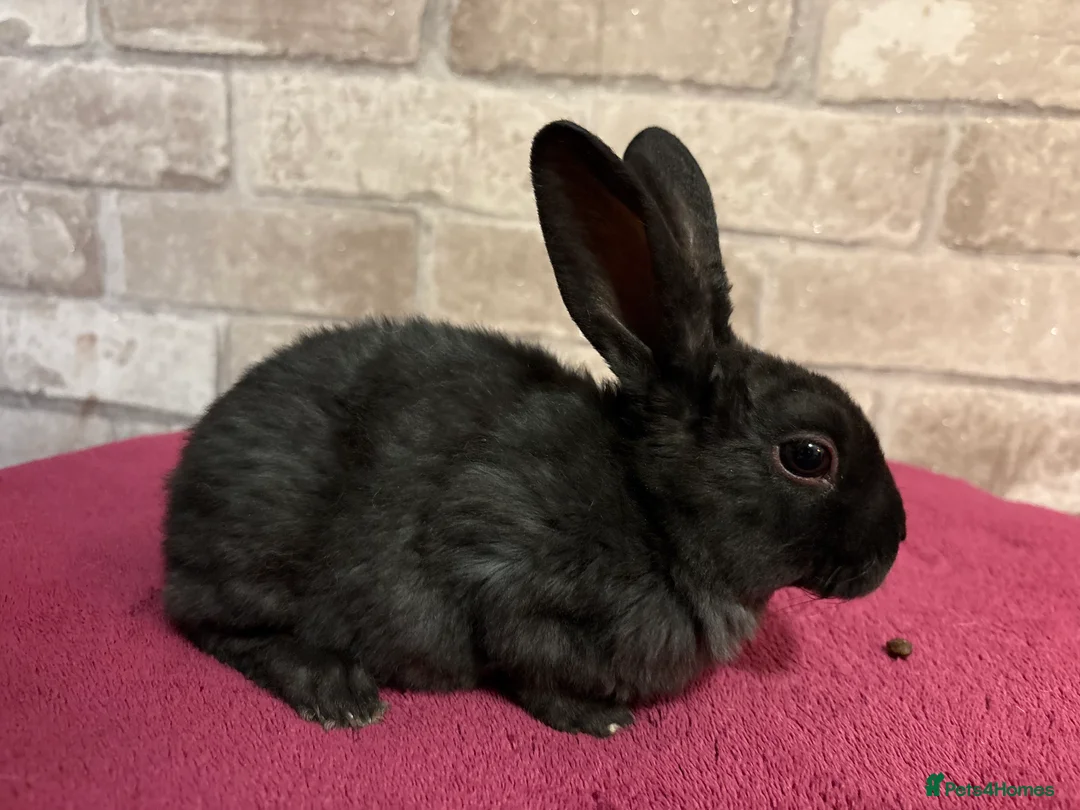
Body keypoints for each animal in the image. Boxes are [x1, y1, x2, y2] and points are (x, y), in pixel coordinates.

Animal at [162, 120, 906, 739]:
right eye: (808, 455)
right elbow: (531, 669)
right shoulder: (510, 583)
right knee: (218, 628)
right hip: (257, 555)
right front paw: (599, 720)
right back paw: (341, 693)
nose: (893, 545)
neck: (655, 509)